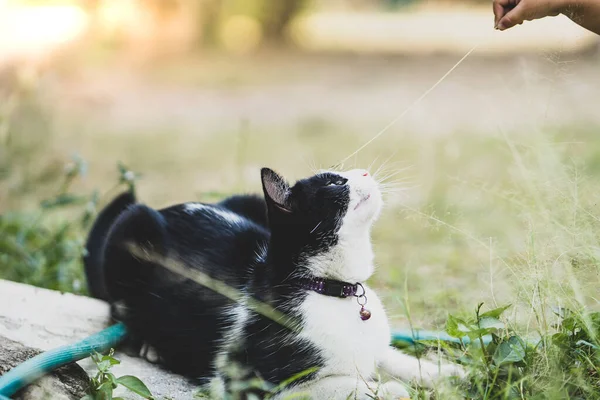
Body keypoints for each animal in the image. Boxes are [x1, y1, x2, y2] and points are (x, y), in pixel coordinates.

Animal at [83, 167, 464, 398]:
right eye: (335, 183)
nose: (365, 171)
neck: (328, 287)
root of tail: (167, 208)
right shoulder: (257, 385)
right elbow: (343, 383)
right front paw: (387, 390)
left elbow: (392, 357)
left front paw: (447, 373)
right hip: (133, 222)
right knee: (118, 306)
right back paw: (151, 345)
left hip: (247, 199)